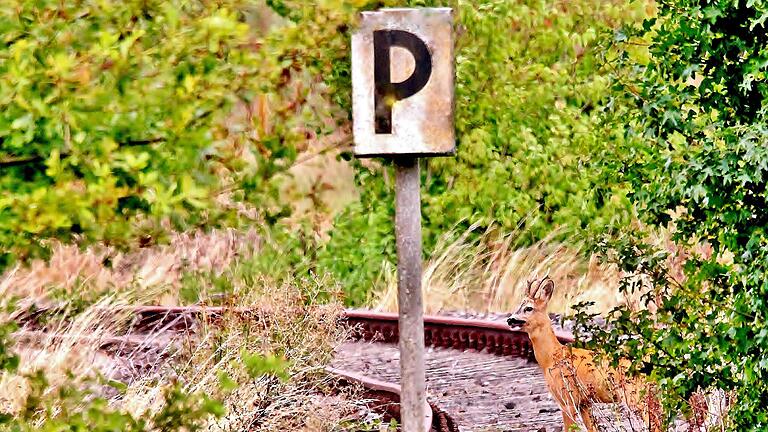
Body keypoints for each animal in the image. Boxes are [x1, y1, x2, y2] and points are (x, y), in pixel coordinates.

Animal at [504, 276, 660, 432]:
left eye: (529, 308)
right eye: (518, 306)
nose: (510, 319)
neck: (551, 358)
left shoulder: (567, 399)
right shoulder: (584, 403)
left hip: (634, 394)